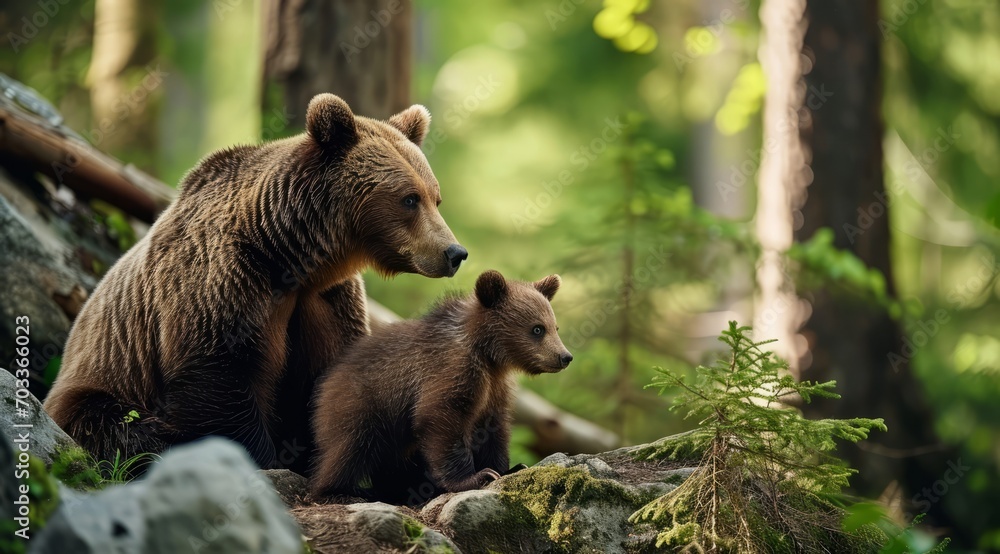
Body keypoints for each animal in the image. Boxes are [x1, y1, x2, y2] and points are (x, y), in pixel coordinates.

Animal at [43, 93, 468, 473]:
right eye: (409, 198)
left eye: (436, 197)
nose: (454, 252)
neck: (289, 255)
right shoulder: (224, 281)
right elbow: (221, 376)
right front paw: (262, 459)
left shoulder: (325, 299)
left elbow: (331, 377)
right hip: (99, 383)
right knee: (118, 427)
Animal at [310, 269, 573, 504]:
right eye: (537, 328)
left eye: (555, 327)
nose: (565, 357)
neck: (489, 355)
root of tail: (327, 381)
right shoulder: (451, 370)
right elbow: (441, 416)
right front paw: (475, 477)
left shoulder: (495, 388)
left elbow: (493, 427)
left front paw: (510, 467)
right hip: (363, 406)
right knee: (350, 449)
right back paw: (340, 490)